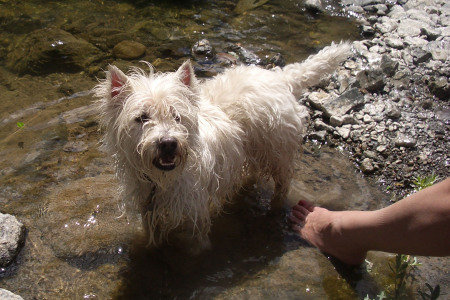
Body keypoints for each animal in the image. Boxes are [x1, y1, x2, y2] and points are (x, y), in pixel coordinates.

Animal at [95, 41, 352, 253]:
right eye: (142, 118)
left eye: (177, 116)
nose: (168, 144)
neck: (161, 181)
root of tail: (281, 78)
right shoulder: (148, 207)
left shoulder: (195, 211)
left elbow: (196, 244)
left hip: (277, 152)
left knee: (282, 185)